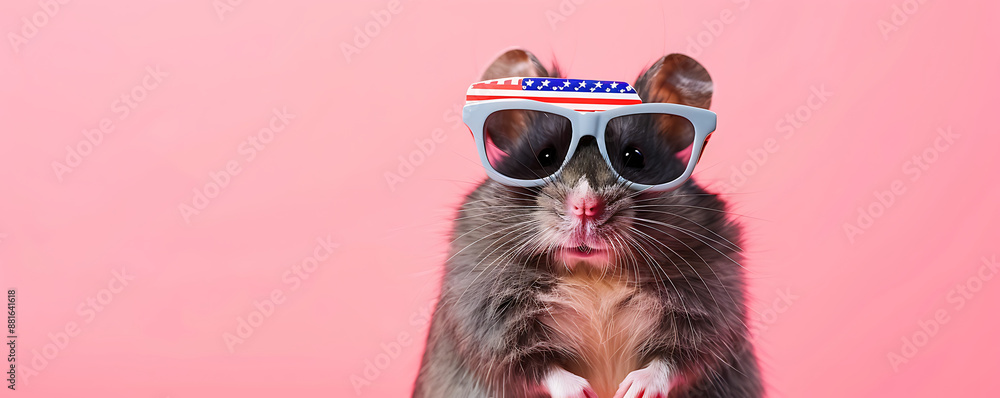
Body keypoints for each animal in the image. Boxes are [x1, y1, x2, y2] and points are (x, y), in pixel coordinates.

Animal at [412, 49, 756, 398]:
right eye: (546, 156)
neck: (592, 275)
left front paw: (632, 389)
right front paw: (584, 392)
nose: (586, 206)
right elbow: (537, 366)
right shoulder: (489, 320)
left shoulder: (711, 310)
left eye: (634, 157)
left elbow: (675, 359)